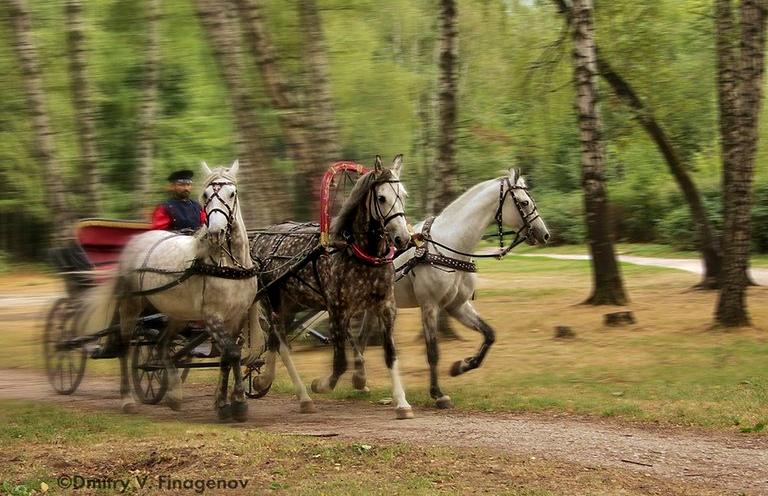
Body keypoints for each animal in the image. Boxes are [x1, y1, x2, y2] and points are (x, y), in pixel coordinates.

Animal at [80, 160, 260, 422]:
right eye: (206, 195)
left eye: (232, 193)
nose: (216, 233)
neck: (229, 266)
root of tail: (134, 242)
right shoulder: (212, 317)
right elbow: (233, 353)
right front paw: (233, 404)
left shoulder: (236, 317)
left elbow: (228, 356)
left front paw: (230, 402)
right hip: (131, 306)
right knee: (126, 347)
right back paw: (128, 400)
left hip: (176, 314)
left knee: (163, 345)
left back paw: (174, 393)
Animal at [352, 169, 548, 408]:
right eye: (524, 202)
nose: (544, 234)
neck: (450, 247)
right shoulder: (430, 306)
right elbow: (433, 351)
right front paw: (437, 393)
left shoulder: (456, 305)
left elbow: (489, 334)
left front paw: (461, 366)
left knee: (360, 339)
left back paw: (359, 381)